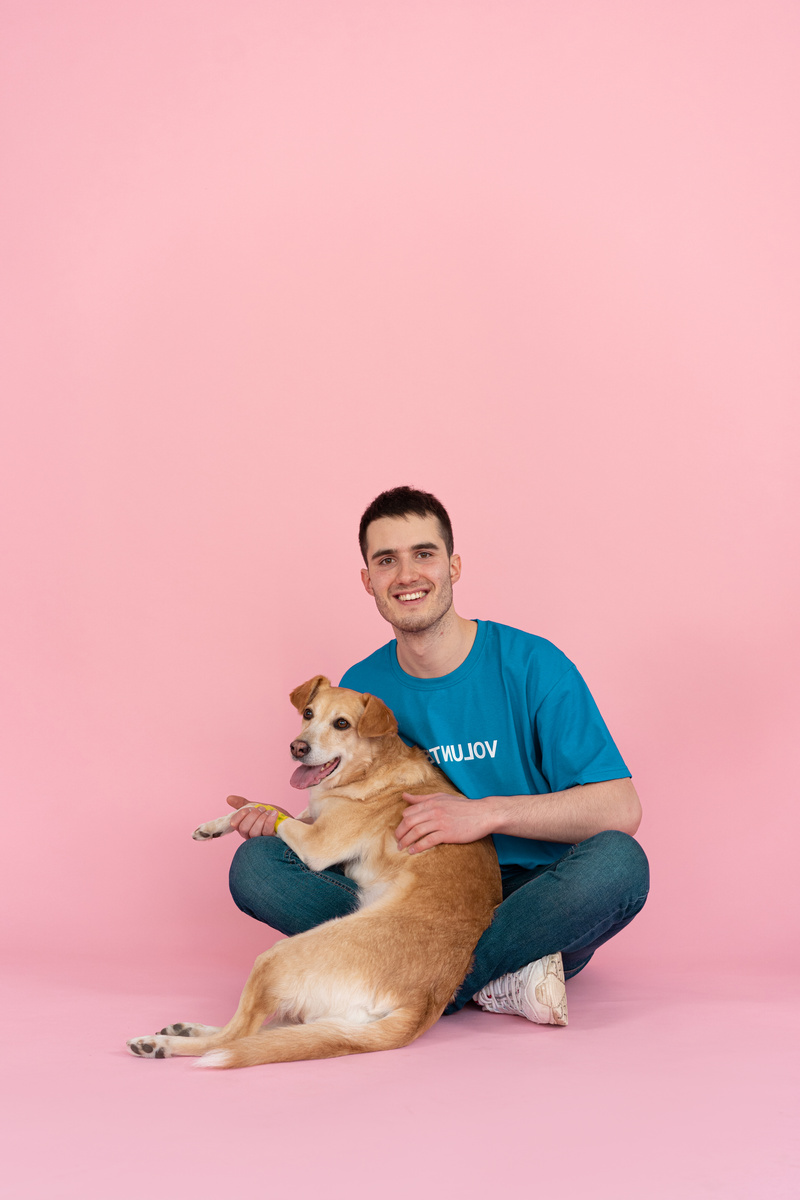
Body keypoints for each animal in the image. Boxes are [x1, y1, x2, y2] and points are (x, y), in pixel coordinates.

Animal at [125, 676, 501, 1070]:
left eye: (342, 724)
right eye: (308, 713)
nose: (297, 747)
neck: (371, 769)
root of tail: (424, 1003)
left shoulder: (318, 843)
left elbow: (273, 813)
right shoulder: (310, 819)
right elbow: (264, 805)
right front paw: (214, 825)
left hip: (276, 958)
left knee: (236, 1037)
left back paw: (160, 1044)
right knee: (264, 1032)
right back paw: (188, 1030)